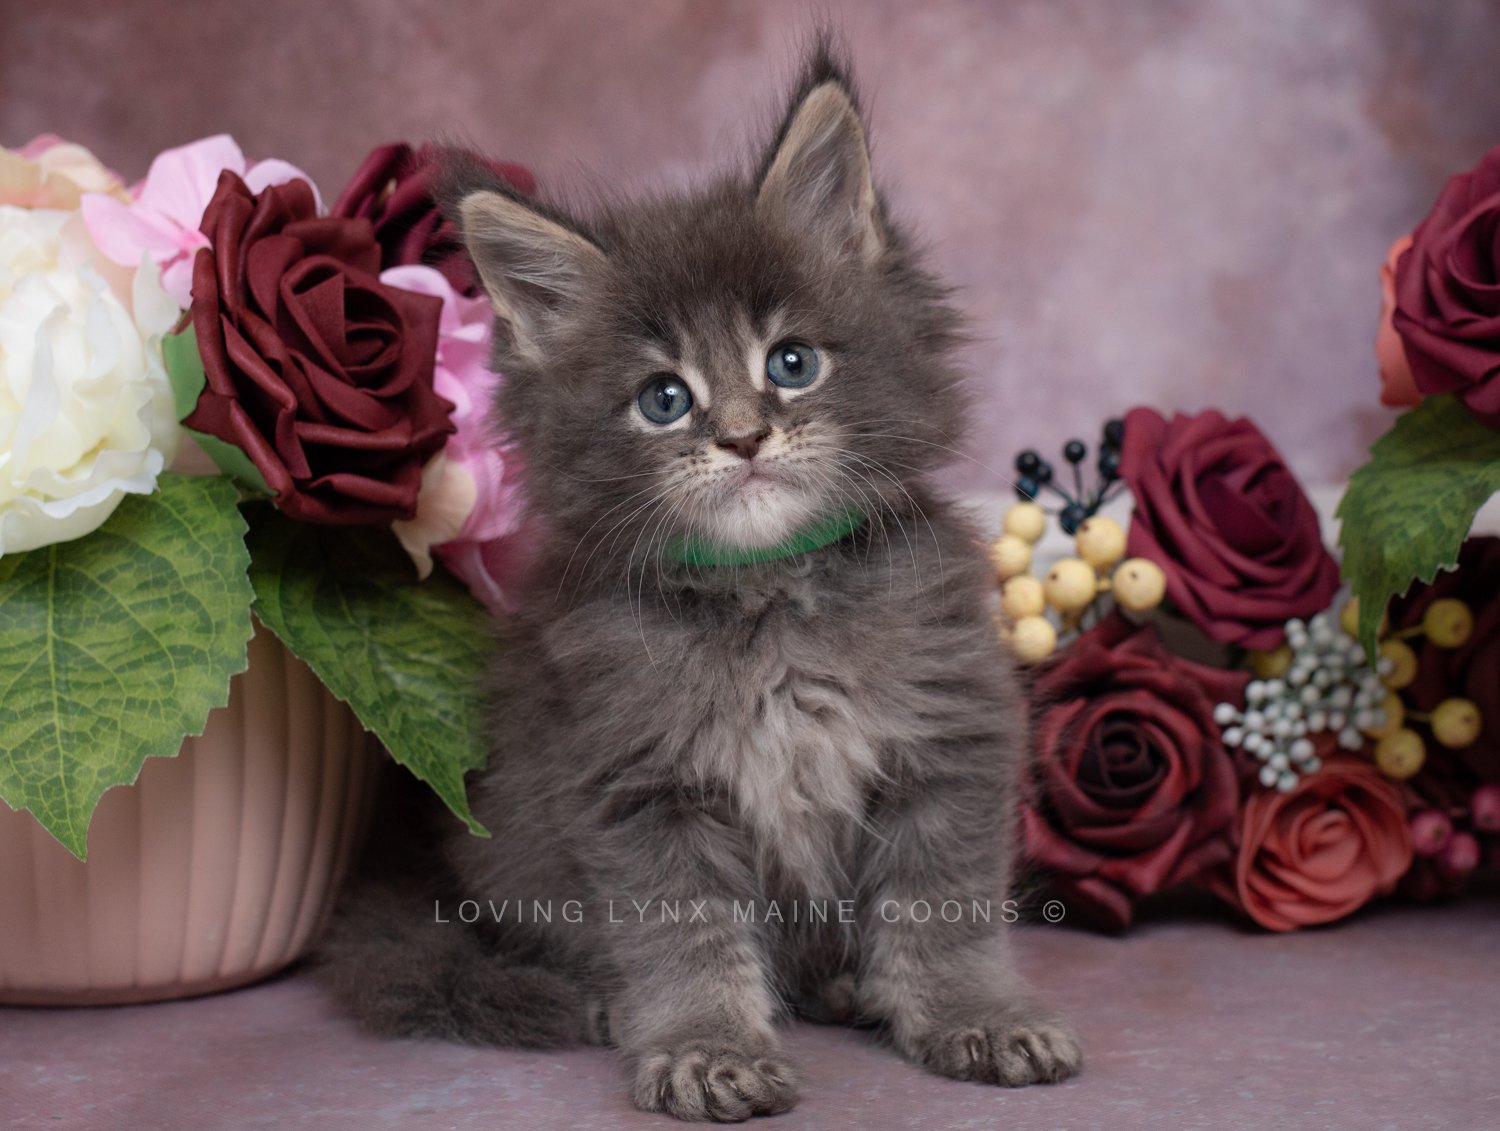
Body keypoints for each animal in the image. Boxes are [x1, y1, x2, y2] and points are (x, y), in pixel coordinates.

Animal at [322, 39, 1086, 1116]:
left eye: (793, 362)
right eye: (664, 399)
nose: (743, 437)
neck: (767, 595)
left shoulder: (950, 737)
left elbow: (944, 910)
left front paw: (975, 1015)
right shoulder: (637, 783)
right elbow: (684, 937)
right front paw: (703, 1046)